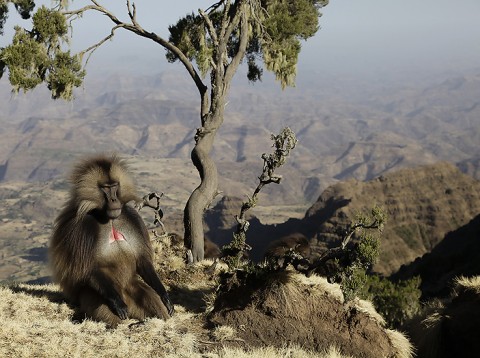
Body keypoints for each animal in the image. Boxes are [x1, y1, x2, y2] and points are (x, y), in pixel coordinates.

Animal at [49, 154, 173, 328]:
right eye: (105, 188)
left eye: (114, 186)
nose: (114, 199)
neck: (109, 219)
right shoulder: (81, 228)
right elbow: (88, 268)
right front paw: (118, 304)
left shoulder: (132, 218)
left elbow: (143, 260)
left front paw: (165, 296)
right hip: (93, 296)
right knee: (103, 307)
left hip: (131, 287)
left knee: (150, 299)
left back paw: (146, 321)